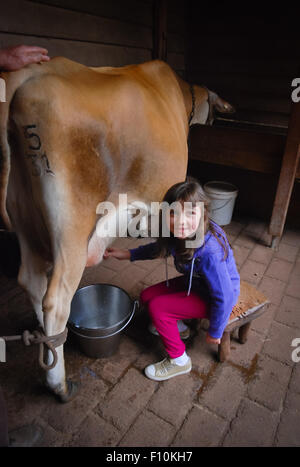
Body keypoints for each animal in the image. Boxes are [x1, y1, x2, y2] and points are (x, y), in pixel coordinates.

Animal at [0, 58, 234, 402]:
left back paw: (50, 343)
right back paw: (59, 384)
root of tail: (33, 70)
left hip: (24, 216)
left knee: (31, 281)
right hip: (72, 226)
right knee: (55, 299)